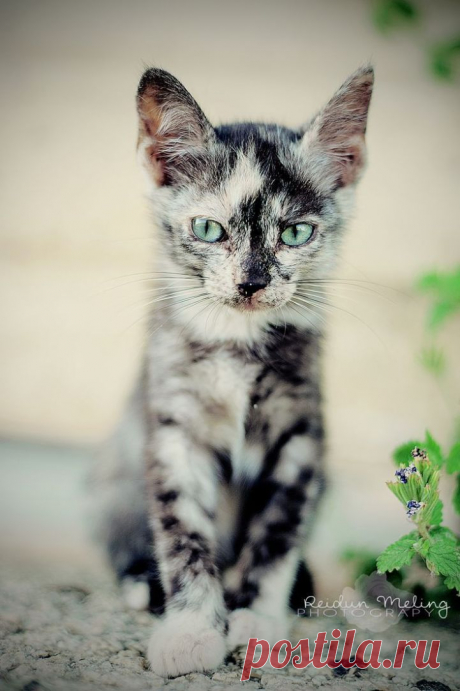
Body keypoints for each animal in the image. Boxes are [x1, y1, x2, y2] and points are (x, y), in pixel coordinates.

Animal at [90, 66, 374, 676]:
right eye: (209, 229)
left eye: (295, 233)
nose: (251, 282)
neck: (237, 343)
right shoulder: (175, 432)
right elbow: (184, 534)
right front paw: (193, 629)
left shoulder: (301, 439)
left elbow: (275, 538)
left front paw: (257, 618)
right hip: (115, 474)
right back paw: (142, 583)